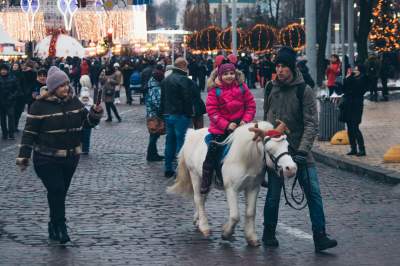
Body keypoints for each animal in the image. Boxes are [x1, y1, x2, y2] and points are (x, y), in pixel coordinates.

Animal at [166, 120, 296, 245]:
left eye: (287, 146)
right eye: (269, 150)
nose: (291, 169)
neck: (246, 158)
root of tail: (191, 133)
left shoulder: (253, 187)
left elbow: (250, 212)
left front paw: (251, 237)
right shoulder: (231, 189)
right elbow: (235, 216)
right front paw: (226, 232)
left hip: (205, 181)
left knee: (202, 199)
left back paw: (197, 220)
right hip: (195, 174)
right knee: (198, 198)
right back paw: (204, 226)